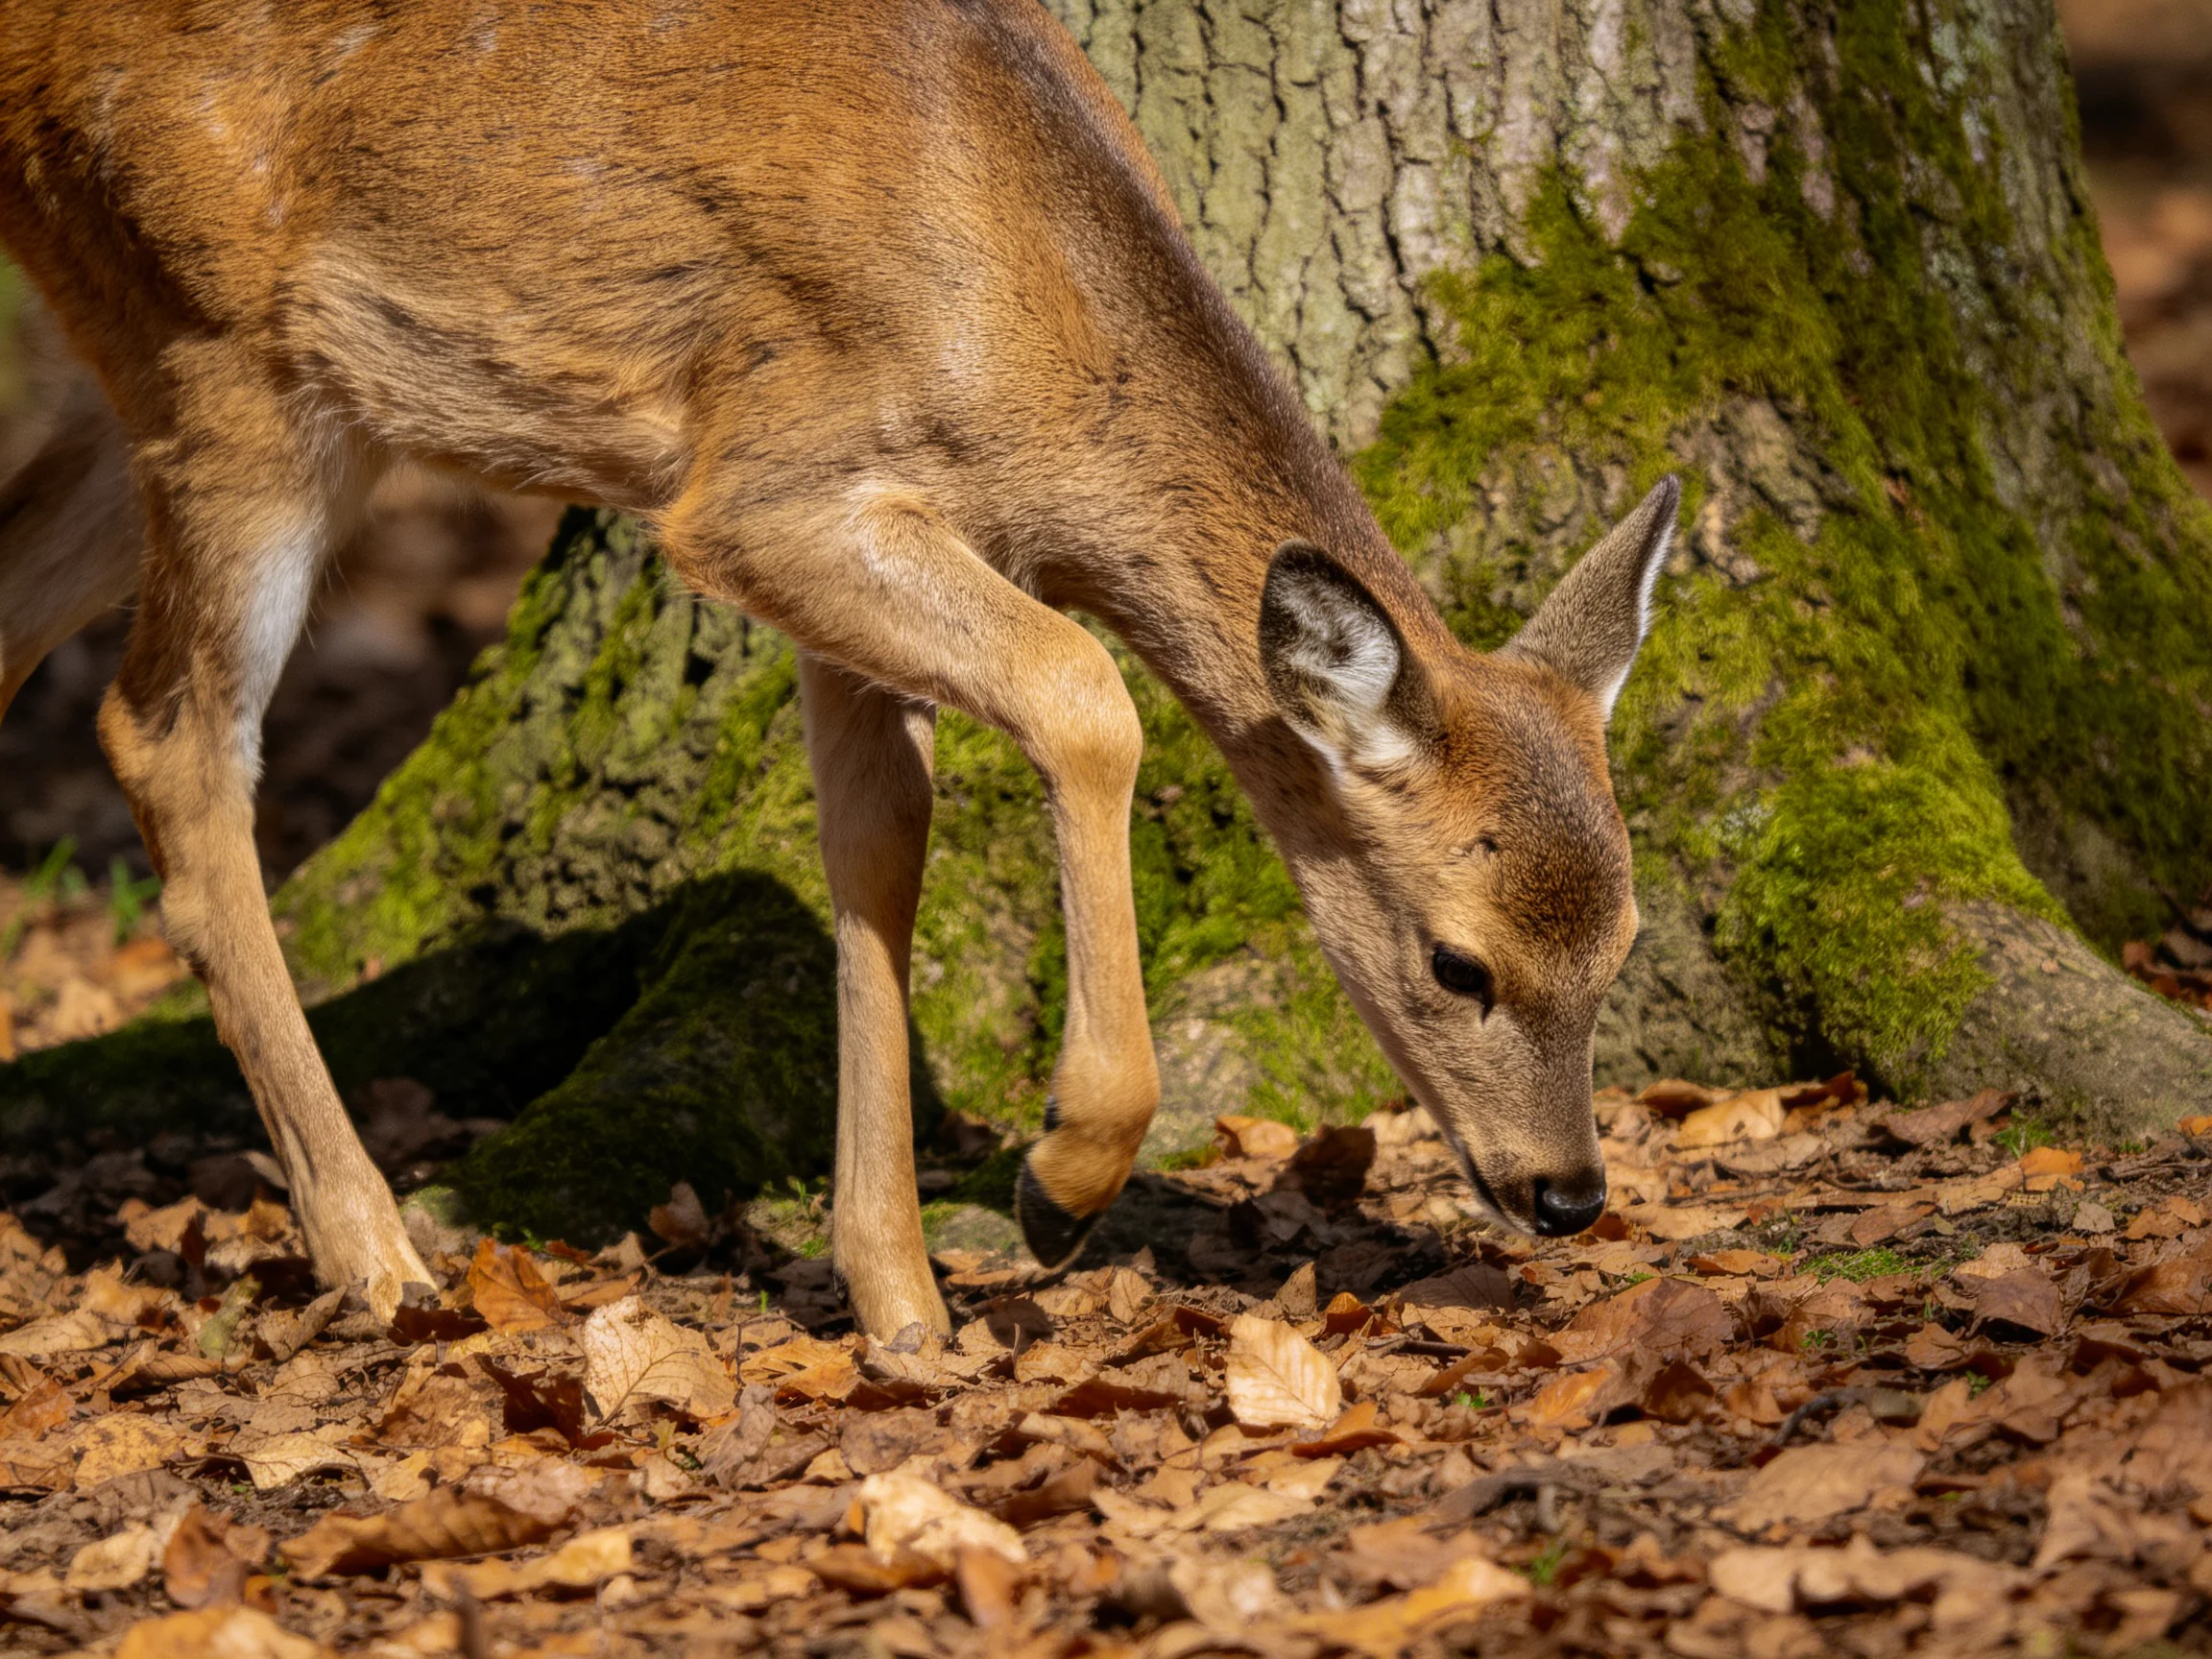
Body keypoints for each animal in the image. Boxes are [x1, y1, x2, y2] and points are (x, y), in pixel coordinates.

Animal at [0, 0, 1676, 1339]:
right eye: (1458, 961)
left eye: (1626, 941)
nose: (1569, 1193)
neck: (1029, 329)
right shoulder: (764, 489)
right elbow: (1087, 694)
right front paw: (1061, 1177)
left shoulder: (848, 557)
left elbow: (877, 845)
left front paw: (900, 1299)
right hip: (227, 360)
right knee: (166, 737)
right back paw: (372, 1252)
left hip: (148, 377)